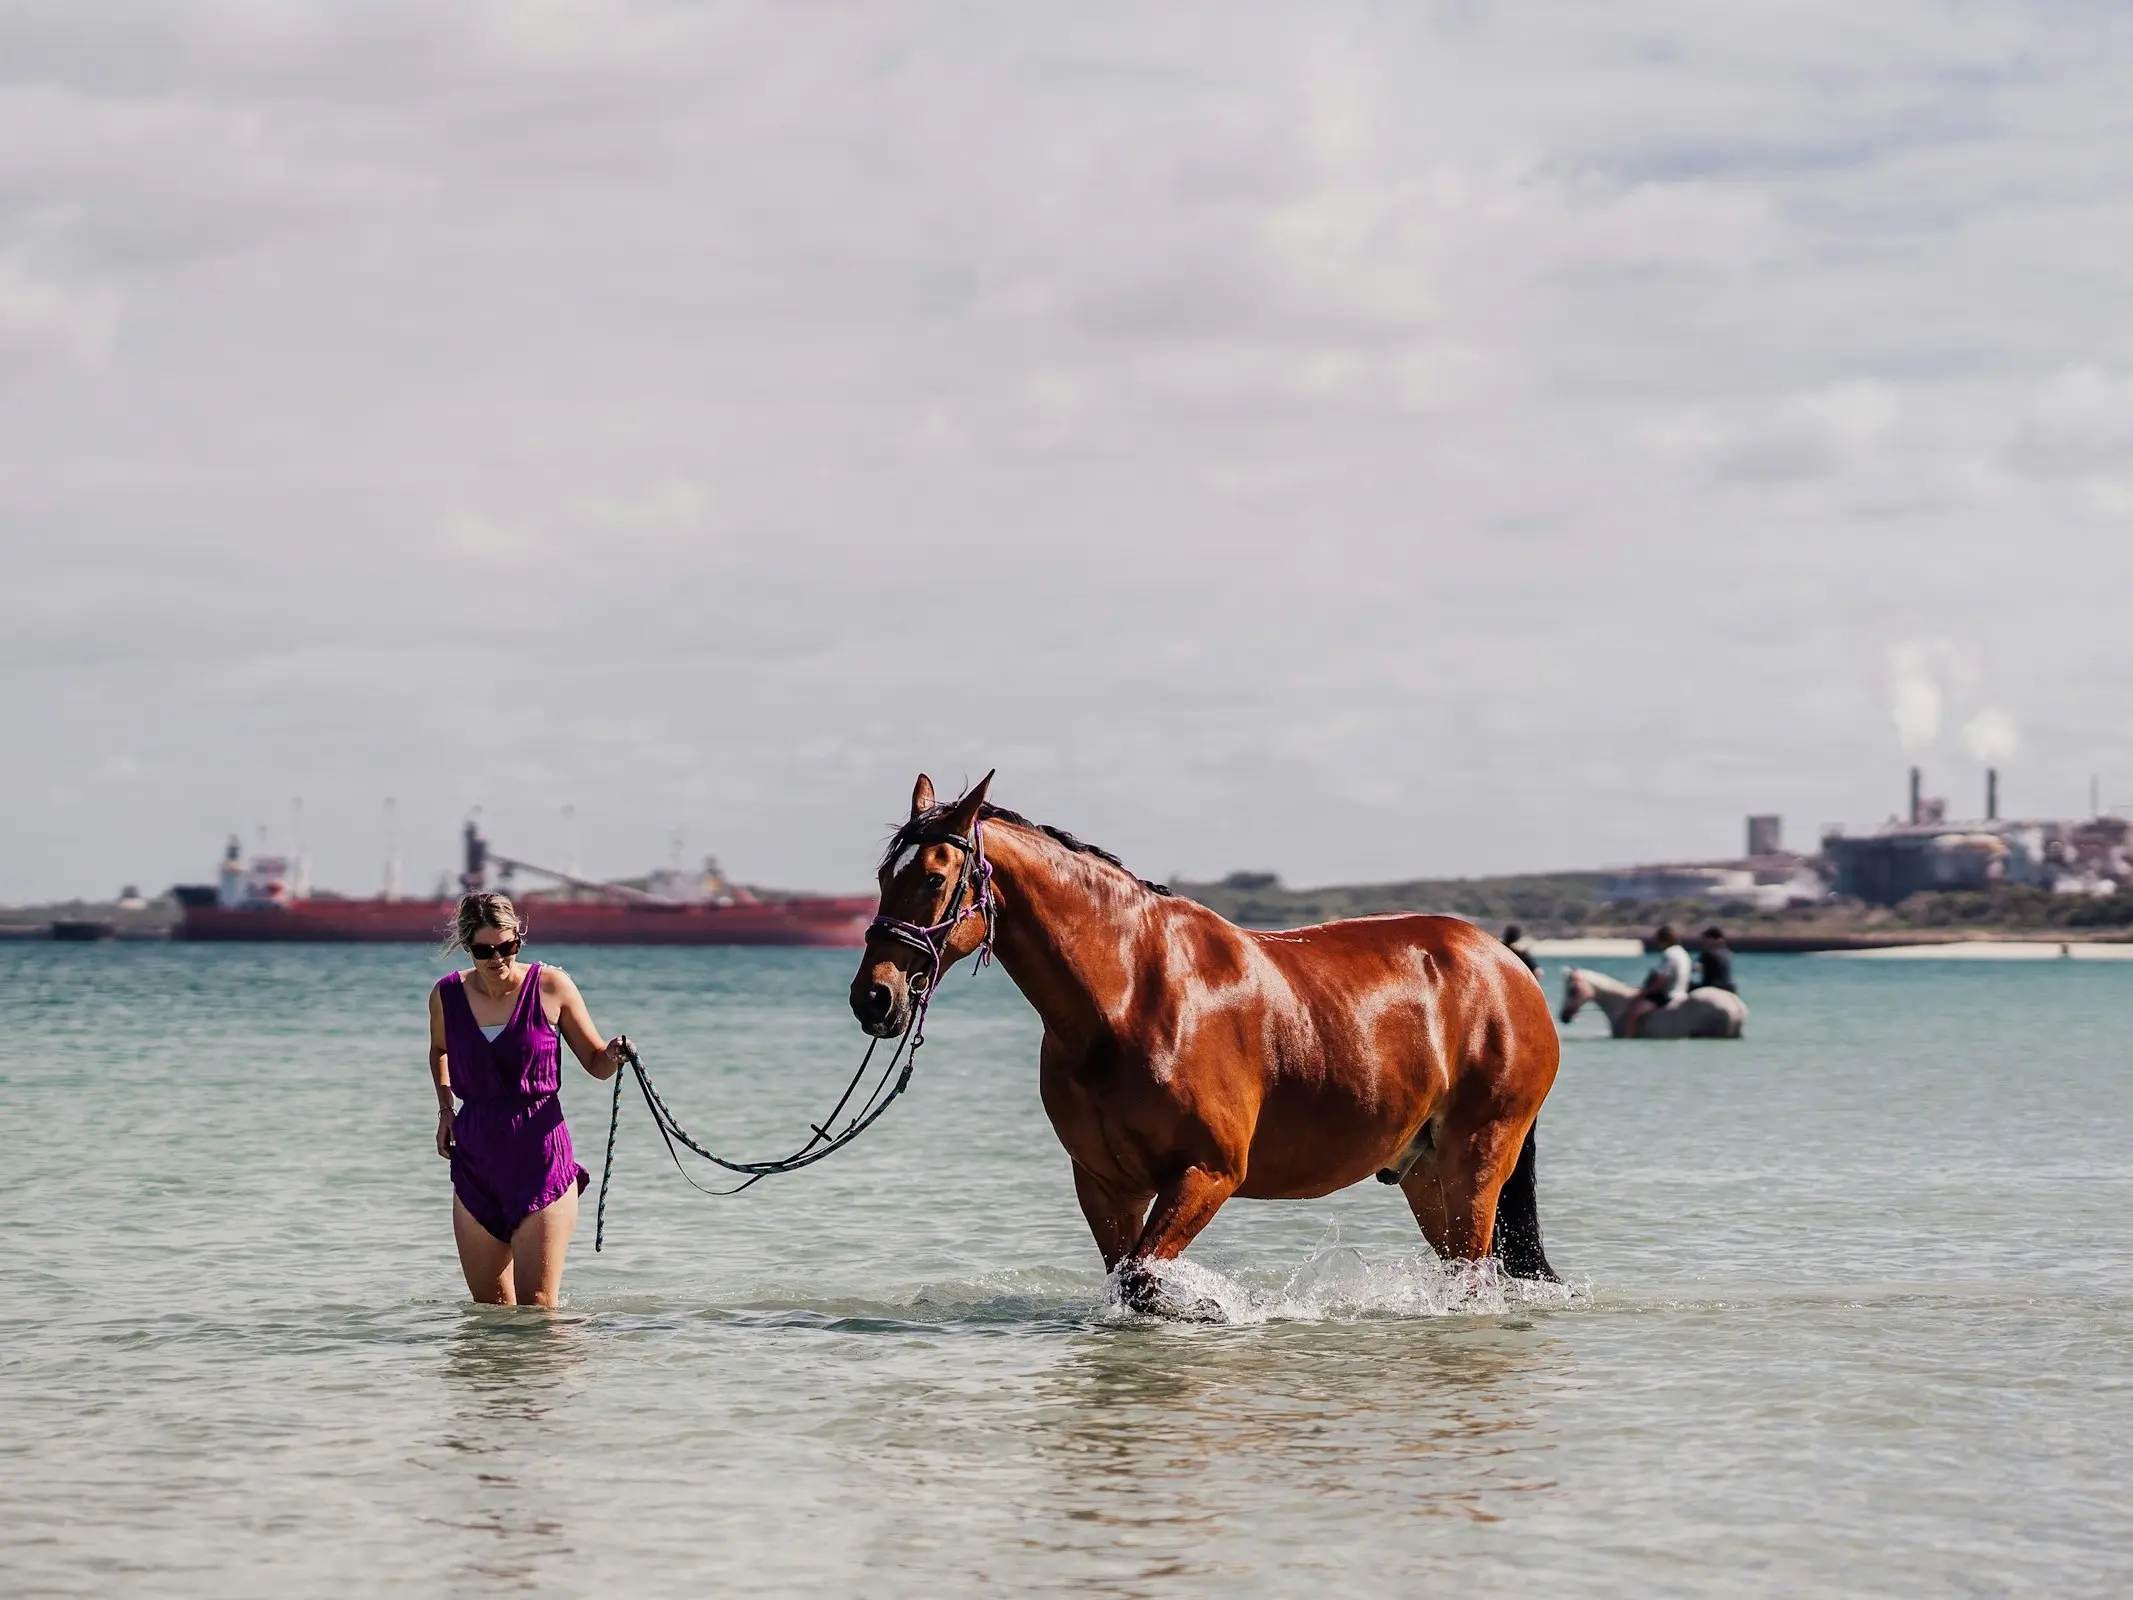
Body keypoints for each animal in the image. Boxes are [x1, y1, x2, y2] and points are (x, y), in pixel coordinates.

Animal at [848, 776, 1569, 1314]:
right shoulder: (1105, 1185)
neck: (1129, 996)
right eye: (884, 876)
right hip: (1426, 1173)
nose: (874, 997)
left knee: (1474, 1273)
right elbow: (1126, 1279)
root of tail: (1506, 963)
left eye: (935, 877)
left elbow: (1143, 1278)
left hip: (1477, 1157)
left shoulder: (1207, 1173)